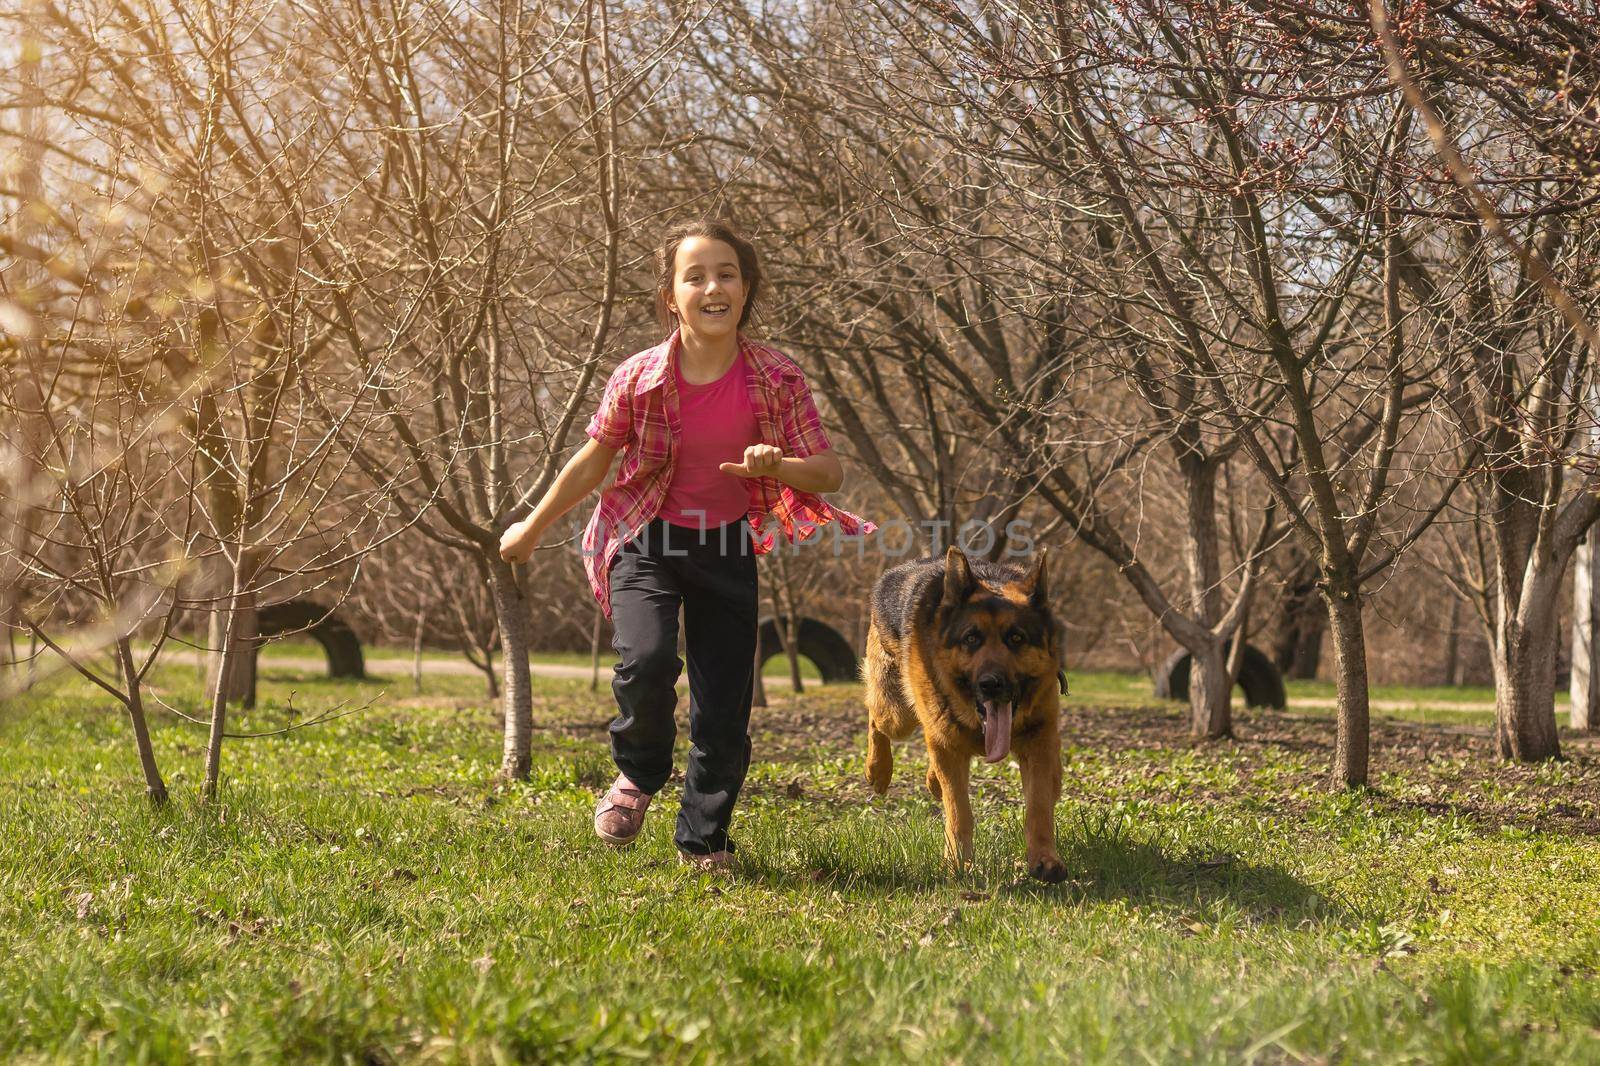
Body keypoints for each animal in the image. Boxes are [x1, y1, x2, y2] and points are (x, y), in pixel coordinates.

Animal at [857, 547, 1068, 877]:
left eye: (1016, 638)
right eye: (971, 638)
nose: (991, 684)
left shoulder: (1039, 744)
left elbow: (1039, 807)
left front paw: (1045, 858)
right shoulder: (949, 747)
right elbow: (958, 811)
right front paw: (957, 862)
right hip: (897, 714)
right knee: (876, 718)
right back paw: (877, 768)